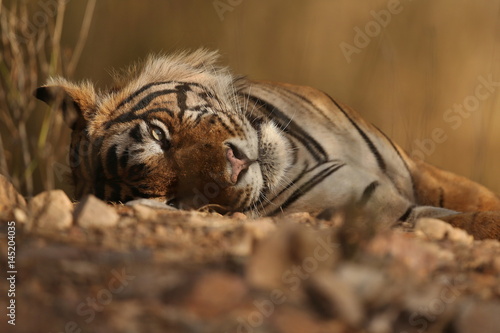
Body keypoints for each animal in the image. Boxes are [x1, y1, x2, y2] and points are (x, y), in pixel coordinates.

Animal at [34, 48, 500, 237]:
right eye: (173, 200)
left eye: (158, 137)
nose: (234, 167)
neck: (300, 153)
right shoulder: (391, 213)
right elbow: (475, 221)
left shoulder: (418, 171)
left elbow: (478, 198)